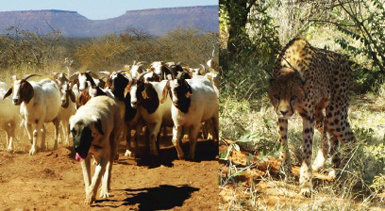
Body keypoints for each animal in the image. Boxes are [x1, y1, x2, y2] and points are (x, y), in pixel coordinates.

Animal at [268, 37, 354, 196]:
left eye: (293, 97)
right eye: (277, 96)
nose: (284, 111)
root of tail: (344, 59)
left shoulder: (308, 116)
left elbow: (307, 150)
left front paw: (306, 182)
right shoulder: (281, 117)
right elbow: (284, 142)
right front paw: (285, 169)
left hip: (335, 114)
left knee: (350, 138)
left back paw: (344, 172)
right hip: (320, 113)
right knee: (329, 135)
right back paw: (326, 164)